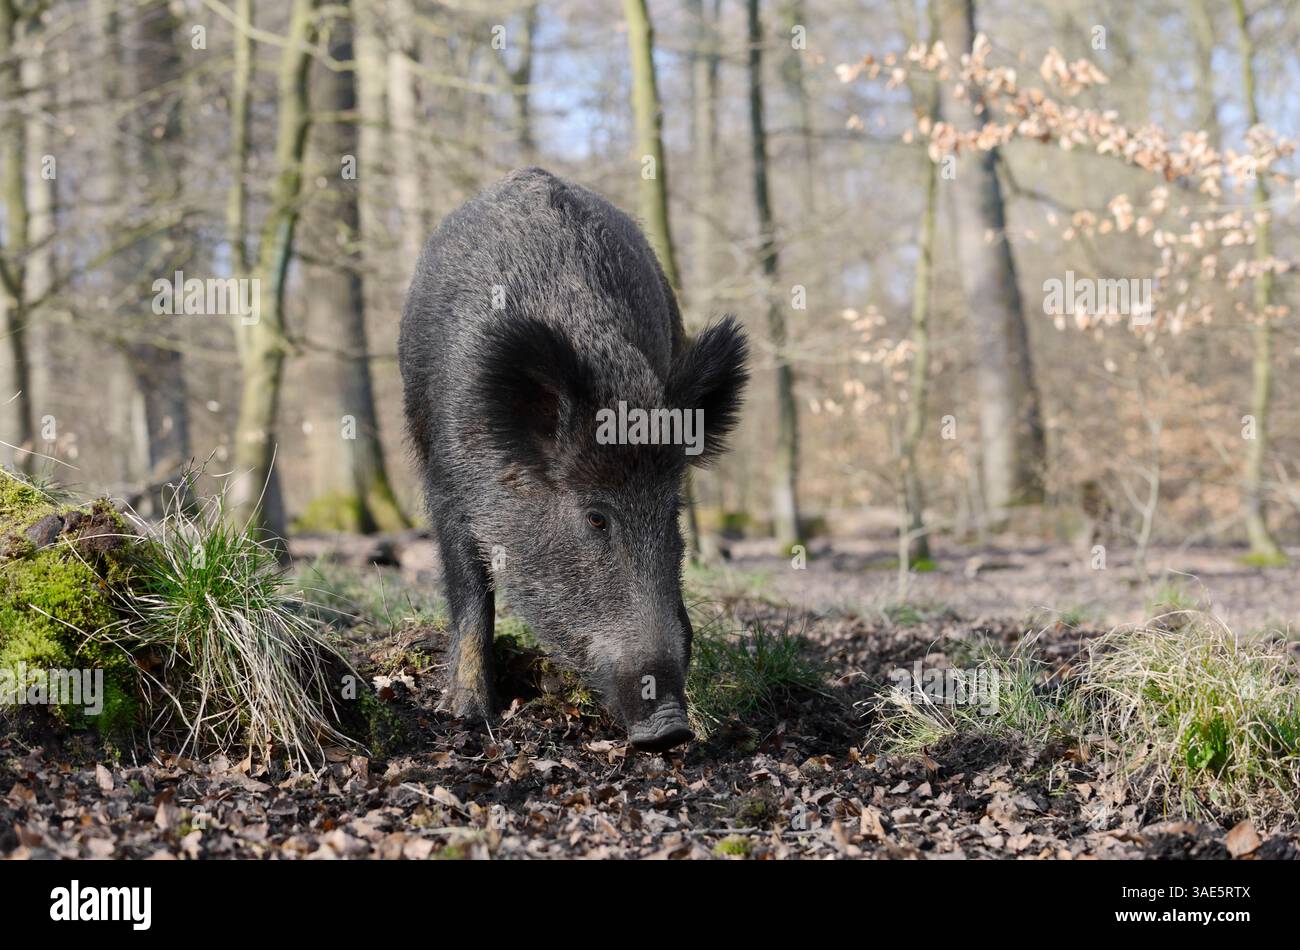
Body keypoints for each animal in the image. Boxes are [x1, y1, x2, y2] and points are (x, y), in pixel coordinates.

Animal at [399, 167, 748, 752]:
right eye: (595, 517)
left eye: (671, 513)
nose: (671, 728)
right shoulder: (444, 482)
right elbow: (470, 591)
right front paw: (467, 715)